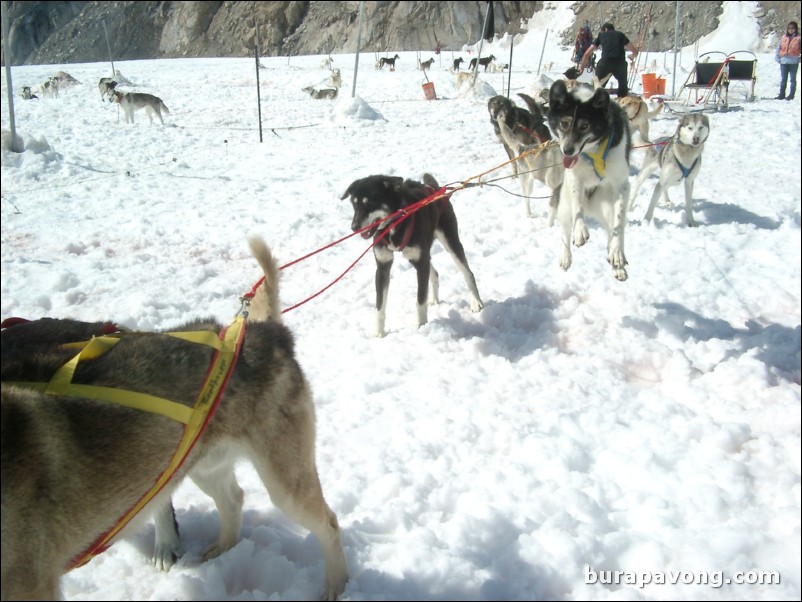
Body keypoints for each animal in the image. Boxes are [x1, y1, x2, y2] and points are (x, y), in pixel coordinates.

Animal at [1, 237, 348, 600]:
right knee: (233, 500)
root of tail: (262, 330)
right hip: (195, 465)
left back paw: (337, 586)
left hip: (284, 482)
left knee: (328, 523)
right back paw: (222, 549)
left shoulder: (30, 582)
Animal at [340, 172, 482, 338]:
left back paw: (476, 301)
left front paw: (422, 327)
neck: (394, 225)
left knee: (468, 273)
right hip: (420, 255)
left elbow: (420, 300)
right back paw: (434, 299)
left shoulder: (420, 263)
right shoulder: (383, 267)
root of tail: (434, 188)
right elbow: (379, 305)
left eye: (370, 203)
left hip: (449, 242)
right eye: (354, 205)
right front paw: (379, 332)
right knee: (434, 273)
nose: (354, 227)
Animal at [544, 78, 632, 282]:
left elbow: (618, 225)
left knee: (613, 228)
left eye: (584, 126)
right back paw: (565, 256)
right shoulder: (575, 178)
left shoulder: (622, 185)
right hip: (564, 203)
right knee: (565, 229)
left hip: (608, 204)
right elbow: (578, 209)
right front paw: (580, 231)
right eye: (564, 123)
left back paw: (617, 262)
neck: (593, 152)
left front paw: (617, 253)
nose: (567, 150)